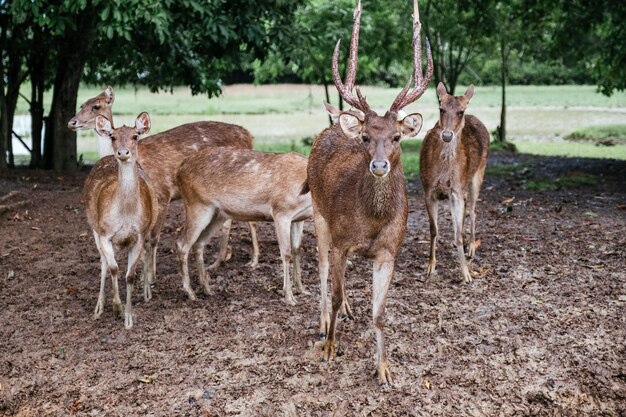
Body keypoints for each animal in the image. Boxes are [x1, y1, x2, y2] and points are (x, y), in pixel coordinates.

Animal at [69, 87, 260, 290]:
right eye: (81, 104)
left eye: (96, 106)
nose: (72, 122)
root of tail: (249, 135)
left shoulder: (162, 194)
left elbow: (152, 238)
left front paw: (150, 277)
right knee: (228, 220)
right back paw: (217, 262)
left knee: (250, 219)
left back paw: (254, 261)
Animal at [83, 113, 158, 328]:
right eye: (113, 136)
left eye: (135, 136)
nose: (122, 152)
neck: (125, 215)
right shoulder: (105, 234)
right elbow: (114, 268)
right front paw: (116, 307)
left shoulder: (139, 235)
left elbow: (130, 275)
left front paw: (128, 319)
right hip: (93, 228)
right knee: (103, 263)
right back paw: (98, 308)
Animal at [174, 148, 310, 304]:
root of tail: (179, 170)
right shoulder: (281, 212)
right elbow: (286, 252)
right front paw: (289, 297)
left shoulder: (299, 218)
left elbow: (296, 249)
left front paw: (302, 290)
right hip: (197, 205)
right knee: (182, 244)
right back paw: (190, 293)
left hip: (218, 214)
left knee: (199, 243)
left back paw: (207, 289)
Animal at [304, 0, 432, 386]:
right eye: (365, 137)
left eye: (397, 136)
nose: (378, 165)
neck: (372, 221)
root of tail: (333, 125)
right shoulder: (342, 237)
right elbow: (333, 291)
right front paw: (330, 347)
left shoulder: (390, 250)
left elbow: (379, 312)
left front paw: (385, 369)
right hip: (318, 212)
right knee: (323, 269)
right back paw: (323, 323)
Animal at [416, 82, 490, 282]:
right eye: (441, 108)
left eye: (461, 111)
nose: (447, 135)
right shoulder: (428, 190)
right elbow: (434, 229)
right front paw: (430, 266)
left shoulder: (456, 190)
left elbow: (457, 233)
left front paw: (466, 274)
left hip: (477, 174)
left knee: (472, 209)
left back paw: (471, 247)